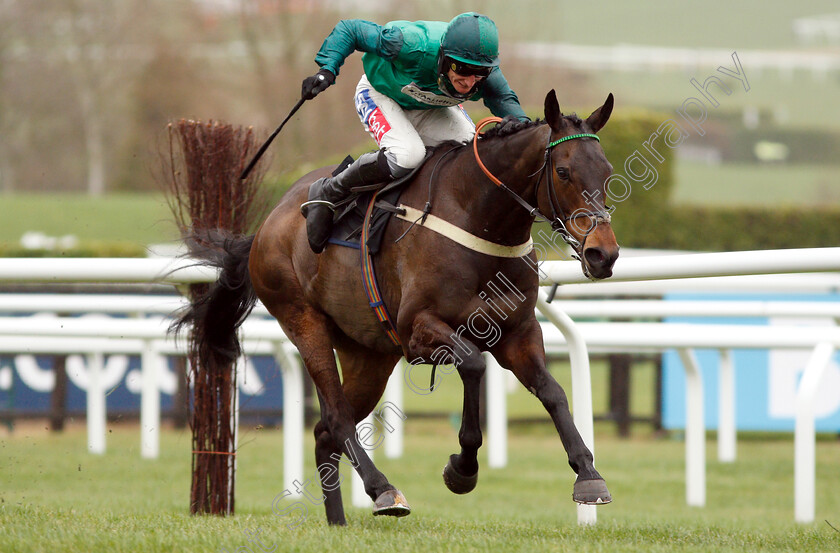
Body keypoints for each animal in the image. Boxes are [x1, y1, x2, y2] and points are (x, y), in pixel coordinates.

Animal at [177, 88, 620, 524]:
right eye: (563, 172)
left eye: (607, 171)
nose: (603, 254)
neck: (477, 217)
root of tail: (267, 224)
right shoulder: (418, 329)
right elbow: (474, 364)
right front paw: (462, 469)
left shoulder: (518, 332)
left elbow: (553, 391)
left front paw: (588, 474)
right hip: (303, 320)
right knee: (336, 417)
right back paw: (383, 490)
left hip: (368, 355)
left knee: (324, 432)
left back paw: (338, 521)